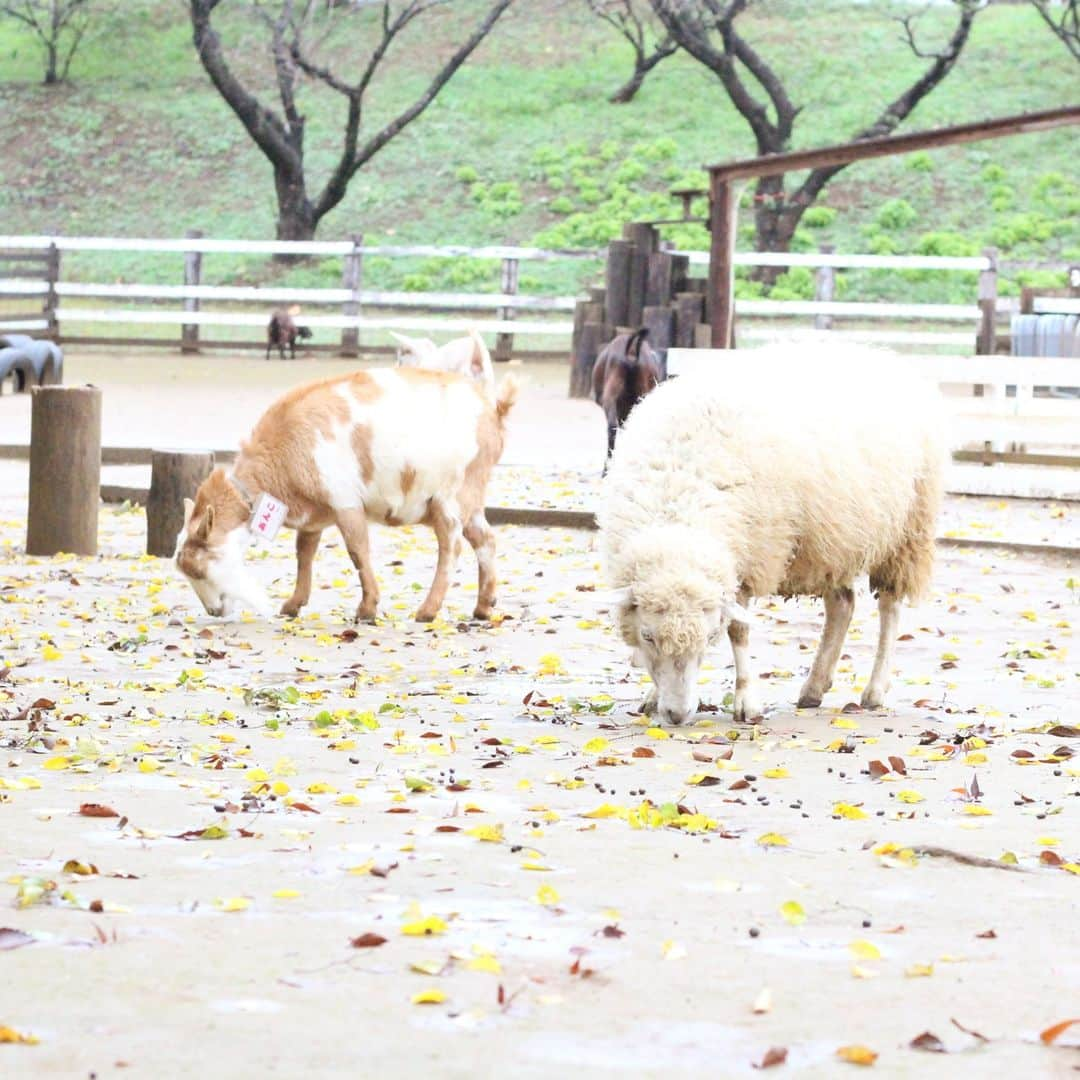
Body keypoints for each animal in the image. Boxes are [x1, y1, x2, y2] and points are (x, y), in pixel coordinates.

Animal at [173, 365, 518, 626]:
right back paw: (483, 606)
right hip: (471, 498)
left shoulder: (345, 500)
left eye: (197, 568)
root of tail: (495, 410)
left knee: (451, 545)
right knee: (485, 540)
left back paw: (427, 610)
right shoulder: (313, 513)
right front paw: (293, 604)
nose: (214, 611)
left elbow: (357, 551)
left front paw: (366, 609)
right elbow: (304, 553)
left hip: (450, 495)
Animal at [600, 345, 946, 725]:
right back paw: (814, 688)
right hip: (832, 540)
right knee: (842, 605)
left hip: (906, 533)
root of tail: (883, 355)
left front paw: (746, 702)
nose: (677, 715)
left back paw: (874, 691)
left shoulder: (752, 557)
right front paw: (652, 696)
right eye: (647, 636)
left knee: (889, 608)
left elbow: (739, 632)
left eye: (710, 636)